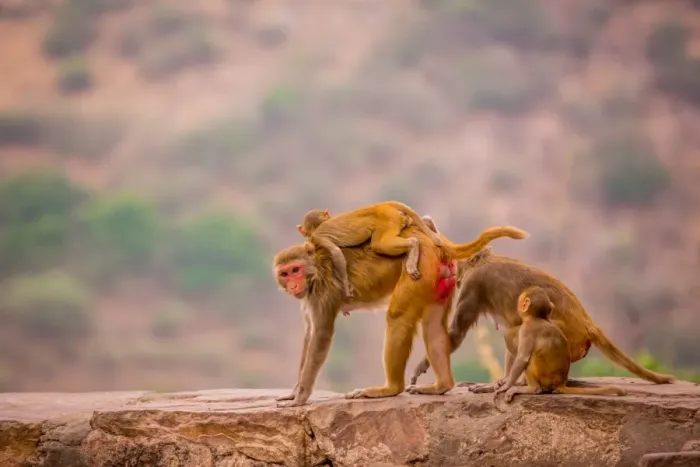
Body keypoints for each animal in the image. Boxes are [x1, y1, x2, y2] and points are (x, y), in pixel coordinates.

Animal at [273, 222, 529, 407]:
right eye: (285, 273)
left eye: (295, 270)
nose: (293, 285)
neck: (315, 269)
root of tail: (431, 241)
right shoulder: (309, 299)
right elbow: (309, 335)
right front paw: (294, 392)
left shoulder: (322, 294)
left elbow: (321, 336)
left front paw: (300, 397)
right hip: (438, 278)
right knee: (433, 325)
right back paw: (442, 385)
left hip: (419, 269)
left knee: (397, 317)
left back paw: (390, 389)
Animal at [295, 202, 439, 300]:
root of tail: (381, 205)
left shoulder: (317, 238)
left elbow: (336, 252)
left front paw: (346, 288)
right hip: (394, 219)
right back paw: (427, 223)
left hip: (387, 221)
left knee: (379, 245)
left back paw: (413, 244)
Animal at [410, 218, 675, 389]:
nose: (453, 276)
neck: (482, 261)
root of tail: (588, 323)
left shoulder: (473, 286)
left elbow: (455, 334)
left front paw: (420, 367)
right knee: (514, 333)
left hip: (568, 340)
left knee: (526, 332)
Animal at [493, 286, 627, 403]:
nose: (518, 306)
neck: (536, 318)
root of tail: (560, 383)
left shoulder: (526, 330)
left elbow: (523, 358)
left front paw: (506, 385)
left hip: (544, 377)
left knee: (529, 358)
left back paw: (532, 389)